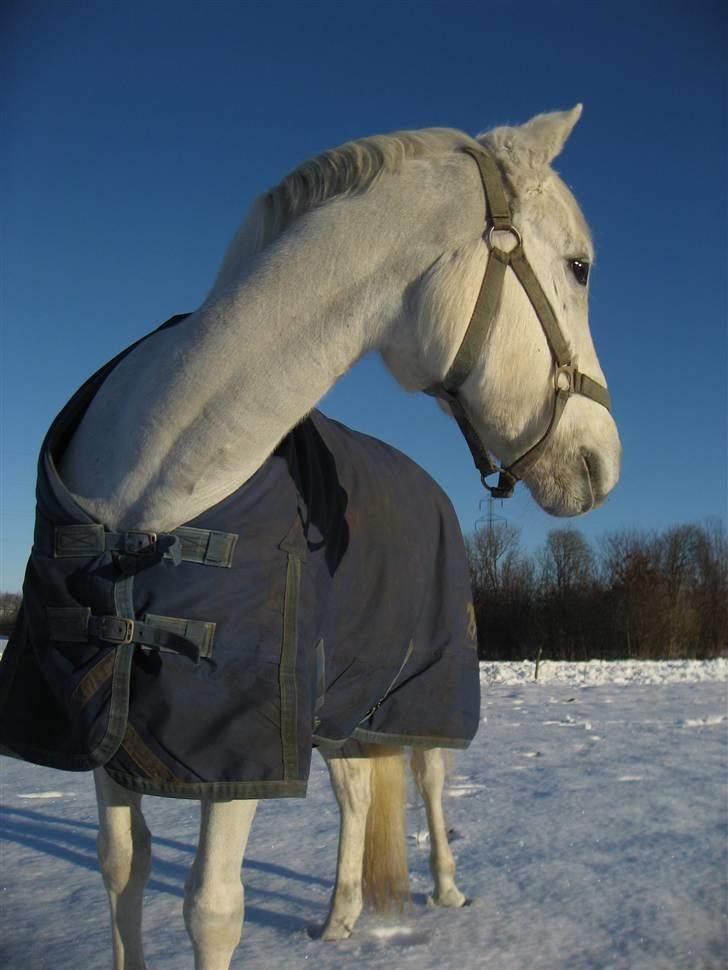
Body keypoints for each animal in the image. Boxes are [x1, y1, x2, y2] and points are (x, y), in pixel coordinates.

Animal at [54, 106, 620, 968]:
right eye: (581, 266)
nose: (606, 462)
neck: (147, 493)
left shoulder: (242, 736)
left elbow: (212, 908)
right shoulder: (103, 722)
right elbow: (123, 868)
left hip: (421, 689)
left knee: (427, 781)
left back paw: (446, 890)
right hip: (342, 705)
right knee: (356, 799)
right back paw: (340, 917)